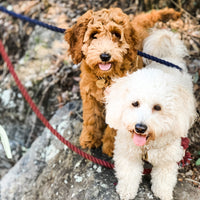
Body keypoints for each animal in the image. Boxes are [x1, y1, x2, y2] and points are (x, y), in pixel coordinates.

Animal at [65, 7, 180, 156]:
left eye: (116, 34)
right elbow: (91, 116)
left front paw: (110, 146)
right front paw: (90, 138)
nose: (105, 56)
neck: (106, 77)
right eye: (93, 35)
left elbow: (115, 126)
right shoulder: (89, 95)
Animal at [105, 29, 196, 200]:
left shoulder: (168, 158)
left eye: (157, 107)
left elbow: (164, 178)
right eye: (135, 103)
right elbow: (128, 174)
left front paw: (163, 193)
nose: (140, 128)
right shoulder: (128, 154)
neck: (146, 147)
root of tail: (169, 56)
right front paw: (126, 191)